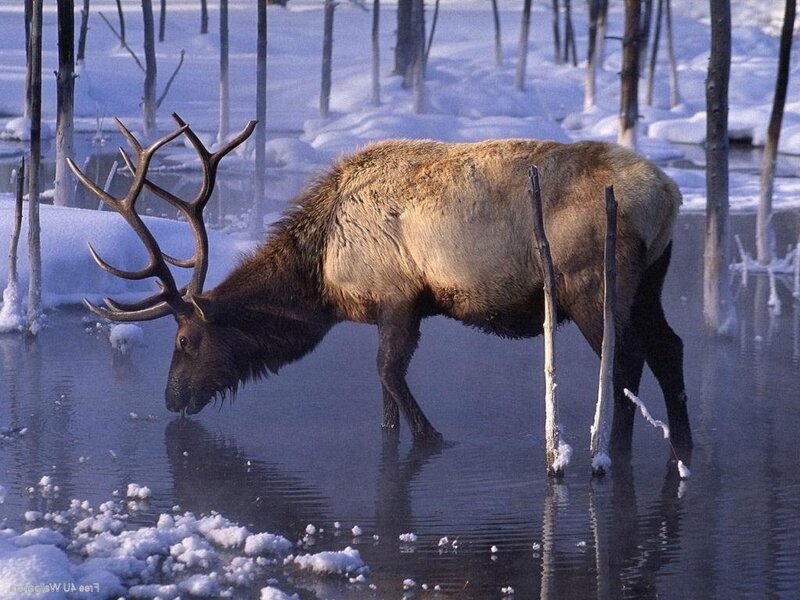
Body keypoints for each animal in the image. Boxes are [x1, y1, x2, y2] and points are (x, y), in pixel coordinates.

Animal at [70, 114, 692, 456]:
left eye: (185, 341)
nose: (172, 399)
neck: (323, 277)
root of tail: (668, 194)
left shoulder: (399, 297)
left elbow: (388, 374)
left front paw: (433, 438)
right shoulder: (390, 308)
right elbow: (385, 398)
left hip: (593, 281)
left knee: (626, 359)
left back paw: (614, 450)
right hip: (651, 279)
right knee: (670, 347)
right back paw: (682, 442)